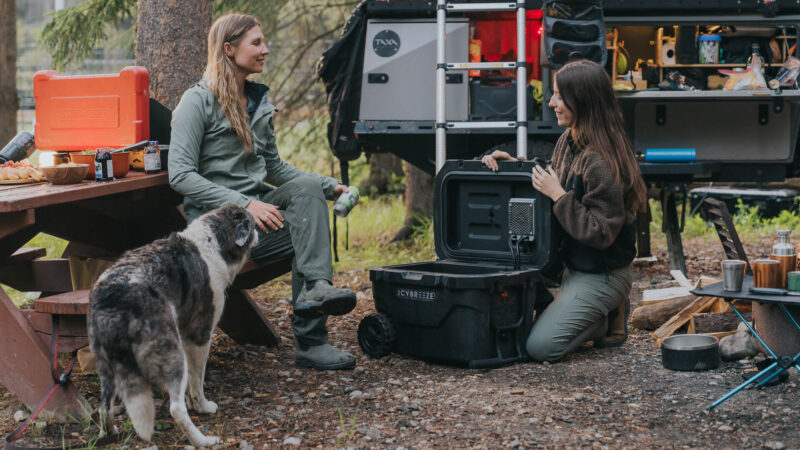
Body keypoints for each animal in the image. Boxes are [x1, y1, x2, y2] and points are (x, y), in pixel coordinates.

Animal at [88, 206, 258, 448]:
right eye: (252, 224)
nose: (260, 232)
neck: (212, 240)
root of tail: (114, 298)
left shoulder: (185, 335)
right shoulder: (200, 336)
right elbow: (197, 382)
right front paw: (203, 407)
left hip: (106, 366)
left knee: (104, 407)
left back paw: (108, 433)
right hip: (172, 355)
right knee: (176, 409)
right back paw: (203, 440)